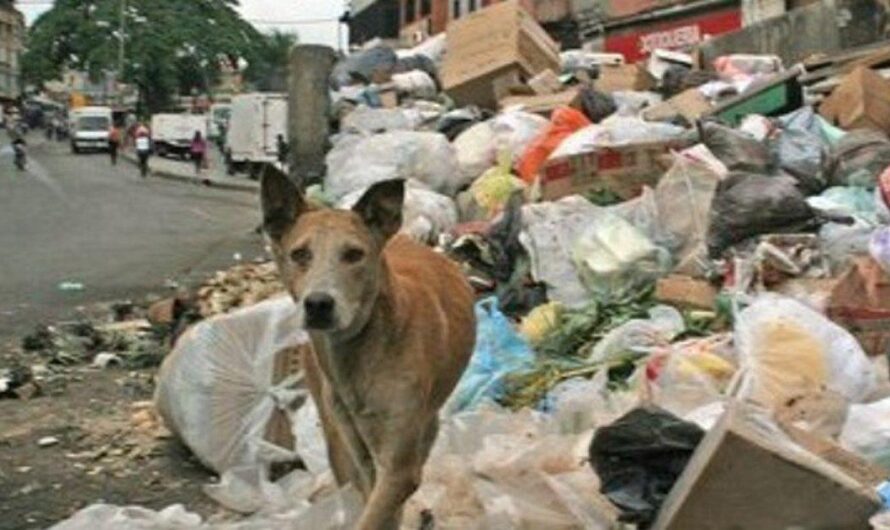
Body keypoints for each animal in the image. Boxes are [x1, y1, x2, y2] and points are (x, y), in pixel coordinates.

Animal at [260, 171, 476, 524]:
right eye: (300, 254)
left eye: (353, 254)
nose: (318, 304)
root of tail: (407, 240)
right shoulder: (360, 452)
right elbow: (373, 503)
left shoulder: (400, 466)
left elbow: (385, 504)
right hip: (334, 429)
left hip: (425, 423)